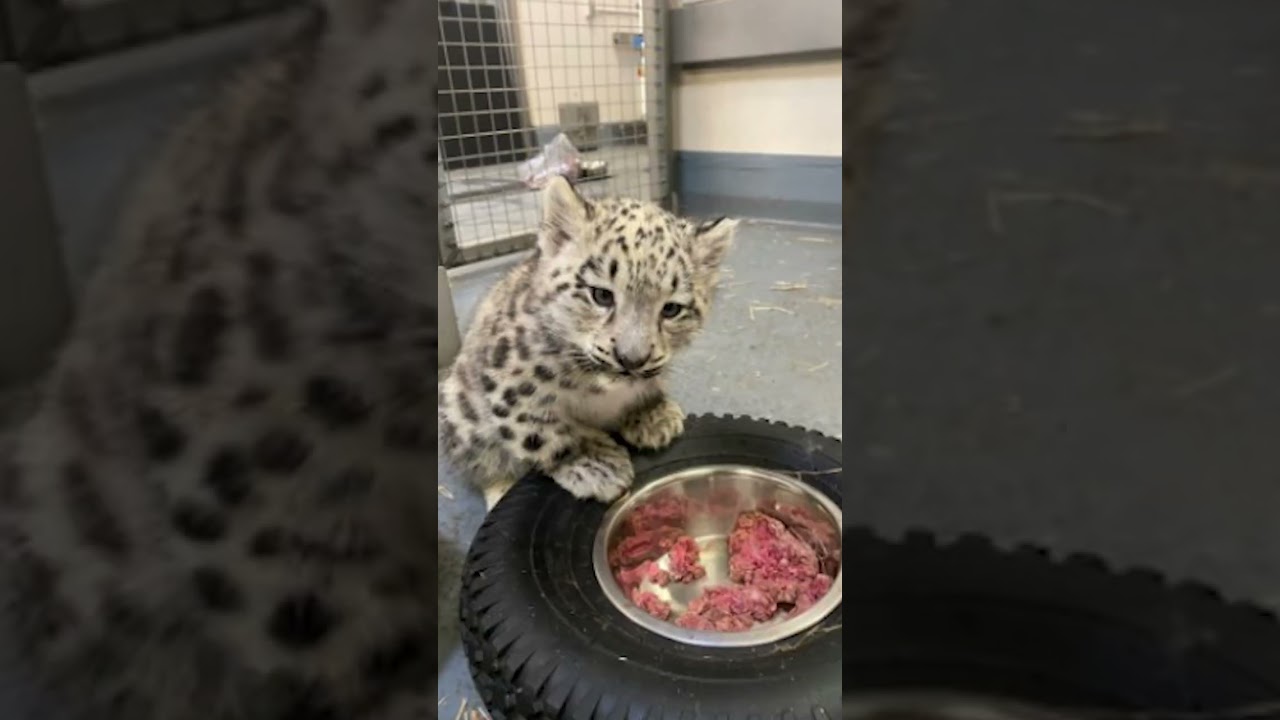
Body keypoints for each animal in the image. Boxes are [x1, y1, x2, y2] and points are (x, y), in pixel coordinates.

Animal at [438, 176, 737, 509]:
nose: (631, 359)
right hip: (461, 417)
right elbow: (537, 430)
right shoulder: (508, 385)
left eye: (671, 309)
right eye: (601, 295)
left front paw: (653, 415)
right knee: (483, 463)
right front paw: (596, 464)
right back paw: (501, 489)